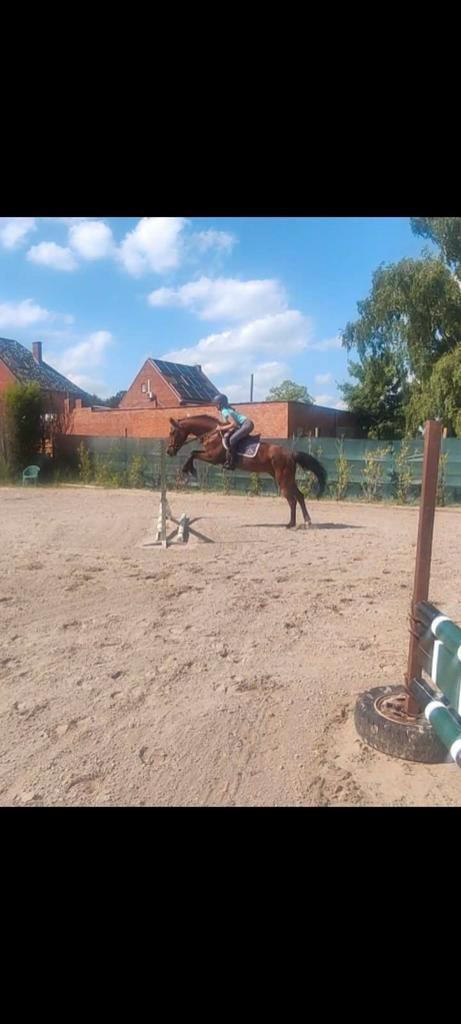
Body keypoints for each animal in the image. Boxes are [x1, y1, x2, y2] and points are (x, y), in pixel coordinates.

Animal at [166, 415, 327, 529]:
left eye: (173, 432)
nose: (169, 452)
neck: (213, 434)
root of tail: (291, 454)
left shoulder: (213, 457)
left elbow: (193, 453)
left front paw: (188, 469)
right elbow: (193, 453)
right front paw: (189, 469)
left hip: (283, 479)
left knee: (292, 500)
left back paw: (291, 524)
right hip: (287, 479)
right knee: (299, 496)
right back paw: (306, 522)